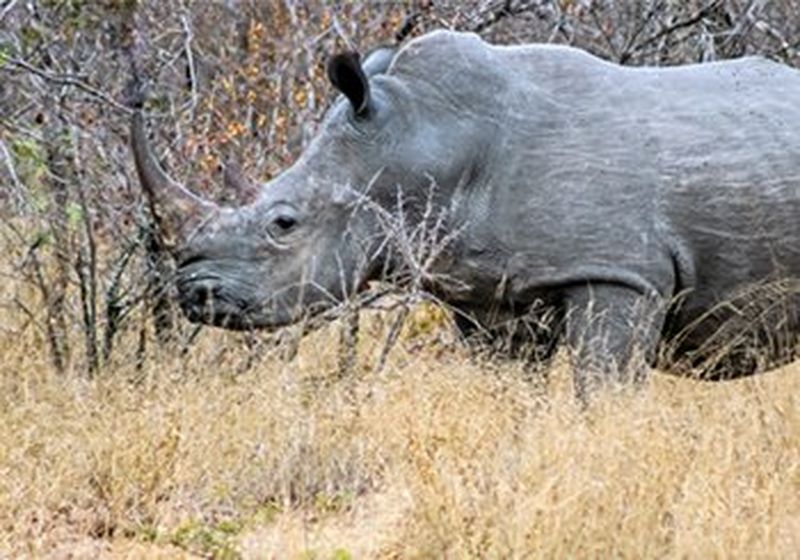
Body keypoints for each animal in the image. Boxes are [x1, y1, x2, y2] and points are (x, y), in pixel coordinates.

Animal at [132, 30, 800, 398]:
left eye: (283, 223)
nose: (193, 295)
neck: (422, 141)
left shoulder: (618, 272)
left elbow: (602, 390)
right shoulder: (488, 292)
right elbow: (510, 394)